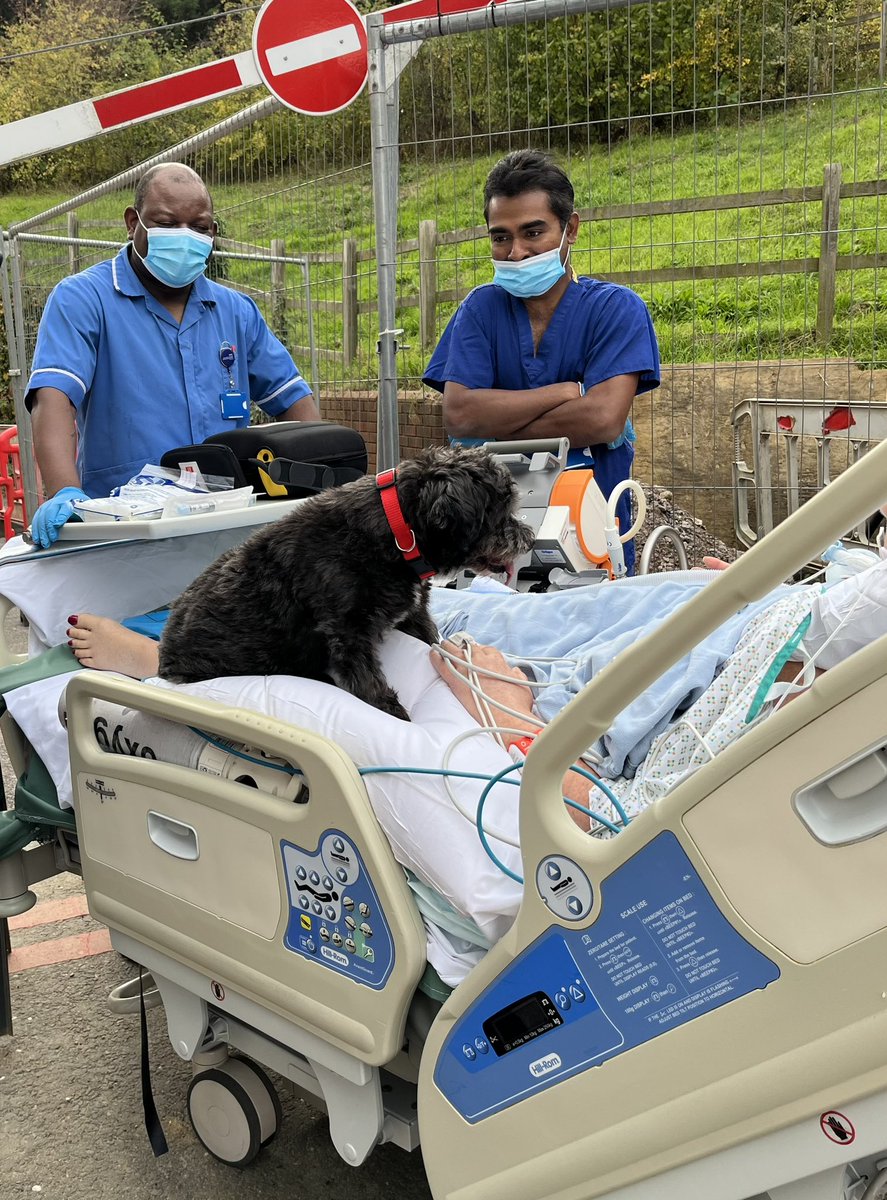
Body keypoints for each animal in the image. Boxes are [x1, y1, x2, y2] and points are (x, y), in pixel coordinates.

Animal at [158, 444, 535, 715]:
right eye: (502, 513)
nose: (529, 540)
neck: (398, 532)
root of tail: (164, 658)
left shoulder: (412, 612)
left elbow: (432, 639)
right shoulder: (347, 631)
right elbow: (369, 683)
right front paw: (395, 713)